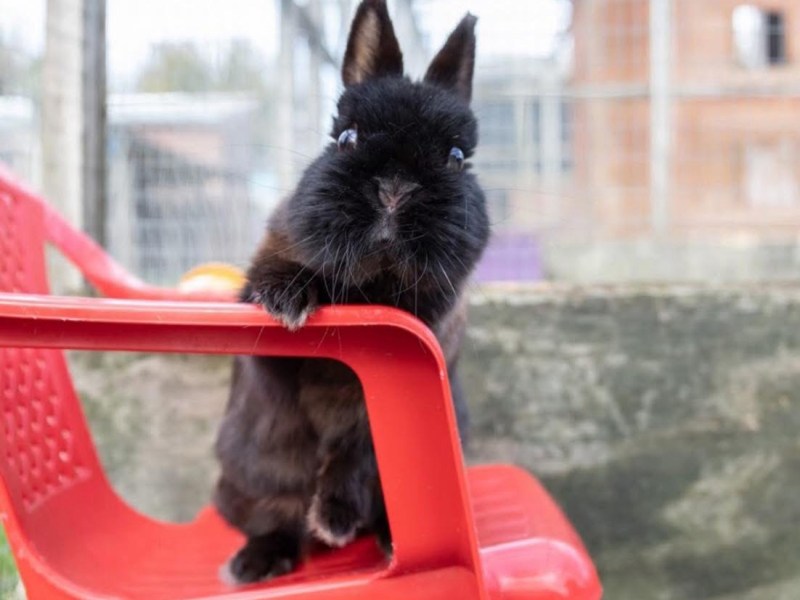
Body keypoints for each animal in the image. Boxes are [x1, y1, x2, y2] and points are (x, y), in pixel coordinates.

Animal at [214, 0, 489, 584]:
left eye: (456, 156)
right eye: (347, 140)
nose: (395, 188)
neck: (372, 285)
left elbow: (357, 453)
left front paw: (335, 518)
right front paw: (288, 302)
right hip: (254, 478)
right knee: (276, 517)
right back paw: (256, 562)